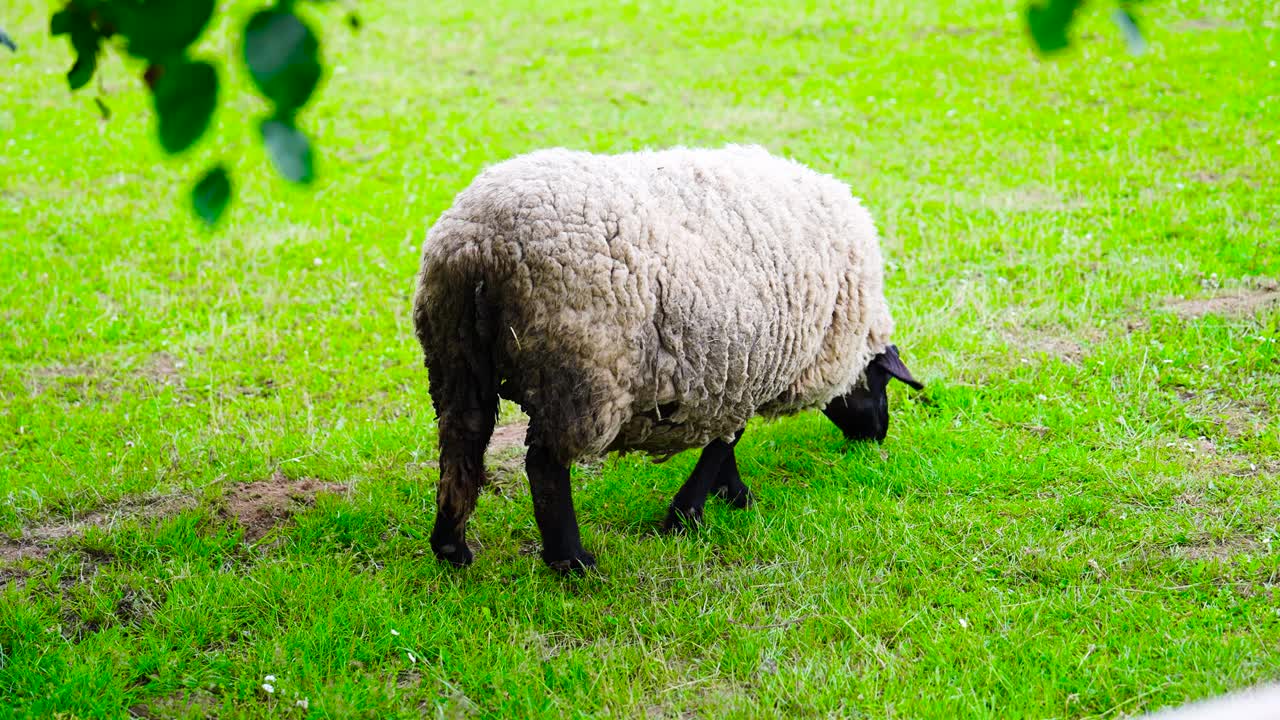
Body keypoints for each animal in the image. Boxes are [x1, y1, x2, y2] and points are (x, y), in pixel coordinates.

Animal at [414, 144, 926, 571]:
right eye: (882, 381)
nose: (876, 436)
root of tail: (478, 247)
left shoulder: (732, 372)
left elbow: (726, 439)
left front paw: (729, 494)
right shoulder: (747, 369)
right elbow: (725, 441)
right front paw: (689, 514)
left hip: (455, 361)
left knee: (461, 446)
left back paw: (452, 549)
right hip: (581, 374)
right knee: (544, 467)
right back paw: (572, 561)